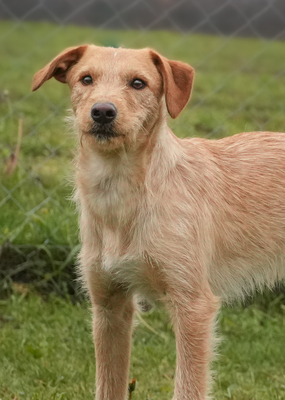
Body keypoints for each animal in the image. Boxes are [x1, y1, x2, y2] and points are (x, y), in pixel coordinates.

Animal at [31, 45, 284, 400]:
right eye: (86, 79)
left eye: (138, 83)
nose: (103, 112)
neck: (123, 196)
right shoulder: (109, 307)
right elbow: (109, 385)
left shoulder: (193, 306)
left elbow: (188, 388)